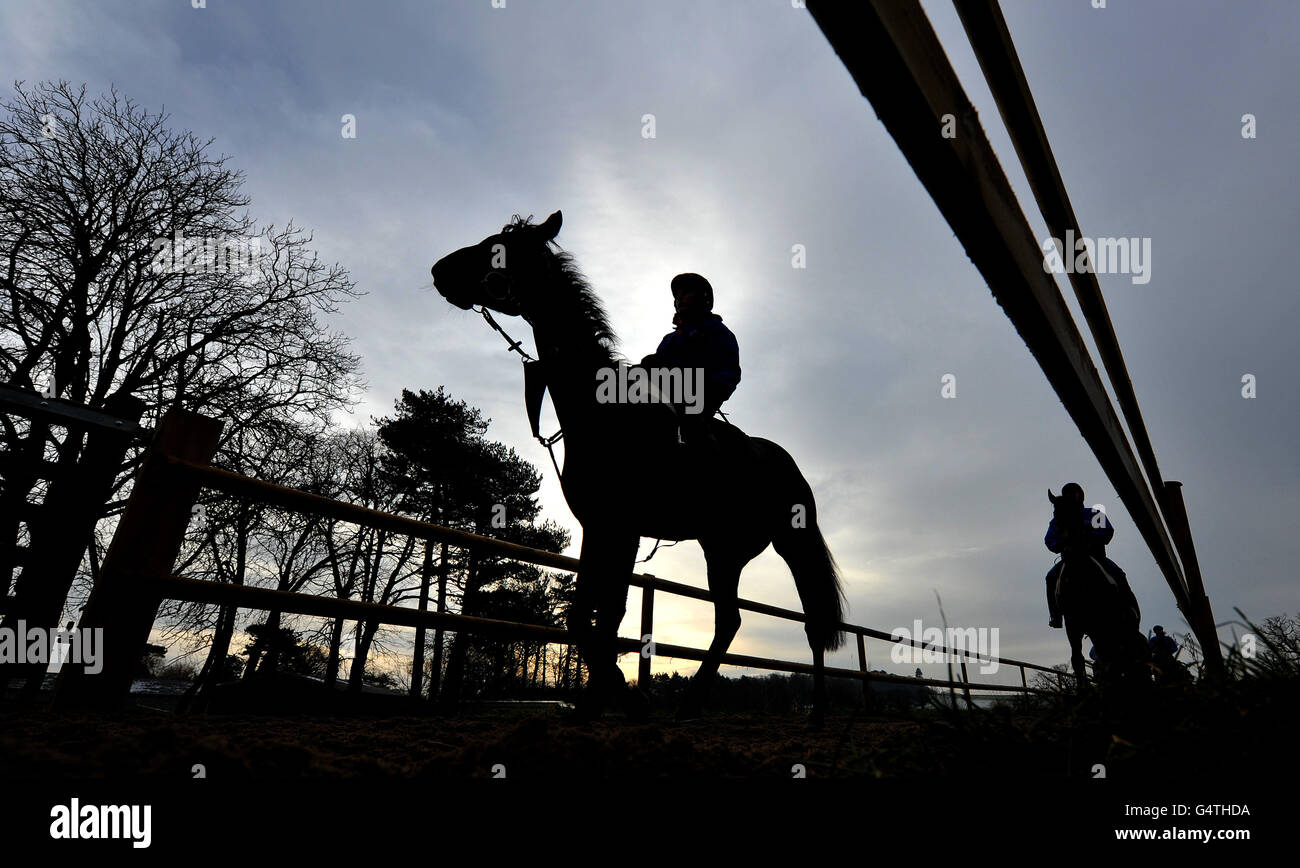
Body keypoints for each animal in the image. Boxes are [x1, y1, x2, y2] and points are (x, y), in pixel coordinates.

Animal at [431, 213, 847, 722]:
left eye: (497, 247)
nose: (439, 270)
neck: (601, 414)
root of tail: (787, 464)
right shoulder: (598, 527)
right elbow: (584, 615)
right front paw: (597, 699)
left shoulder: (624, 529)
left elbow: (609, 613)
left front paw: (627, 695)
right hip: (722, 549)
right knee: (730, 620)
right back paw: (698, 701)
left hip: (790, 544)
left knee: (807, 619)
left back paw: (814, 707)